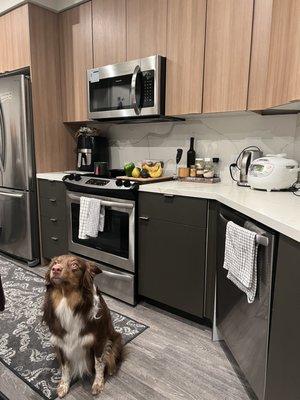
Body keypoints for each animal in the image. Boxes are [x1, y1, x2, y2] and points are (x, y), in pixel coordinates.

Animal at [42, 255, 122, 398]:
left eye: (74, 265)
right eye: (55, 262)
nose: (55, 269)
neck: (66, 299)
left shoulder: (99, 340)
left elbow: (98, 364)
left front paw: (98, 383)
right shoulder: (60, 342)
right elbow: (65, 367)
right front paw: (63, 385)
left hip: (116, 339)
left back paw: (112, 369)